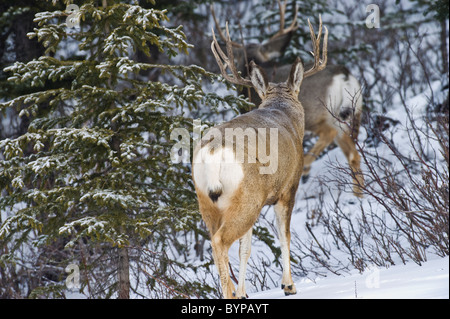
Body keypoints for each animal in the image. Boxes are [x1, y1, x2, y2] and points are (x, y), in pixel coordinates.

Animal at [192, 16, 326, 298]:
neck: (283, 112)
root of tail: (214, 151)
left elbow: (246, 248)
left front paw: (245, 292)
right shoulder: (287, 188)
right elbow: (284, 236)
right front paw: (289, 285)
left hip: (207, 201)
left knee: (217, 241)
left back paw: (233, 291)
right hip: (248, 197)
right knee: (220, 241)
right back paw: (231, 293)